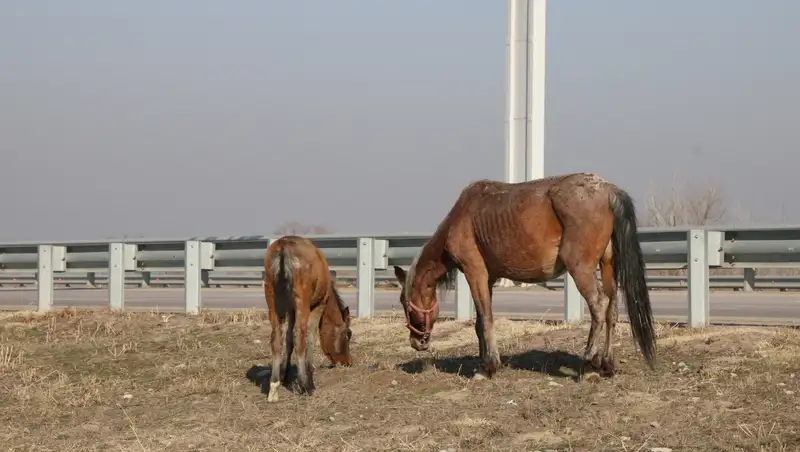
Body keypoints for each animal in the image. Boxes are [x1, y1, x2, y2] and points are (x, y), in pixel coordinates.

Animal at [264, 235, 352, 400]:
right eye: (347, 335)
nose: (347, 361)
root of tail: (283, 248)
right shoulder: (319, 304)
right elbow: (311, 337)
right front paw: (309, 375)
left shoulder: (291, 309)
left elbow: (289, 339)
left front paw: (284, 373)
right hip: (302, 300)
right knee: (301, 337)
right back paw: (306, 385)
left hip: (272, 298)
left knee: (276, 337)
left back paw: (274, 386)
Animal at [392, 173, 656, 382]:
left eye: (405, 303)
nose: (416, 342)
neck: (461, 217)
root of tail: (608, 190)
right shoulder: (489, 279)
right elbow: (479, 322)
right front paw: (483, 362)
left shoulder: (475, 272)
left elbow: (486, 320)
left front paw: (488, 368)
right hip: (608, 265)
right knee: (612, 309)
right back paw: (606, 365)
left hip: (581, 269)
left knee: (599, 305)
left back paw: (590, 360)